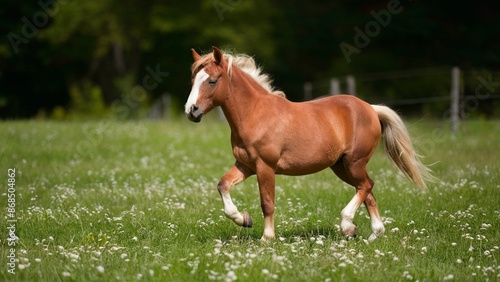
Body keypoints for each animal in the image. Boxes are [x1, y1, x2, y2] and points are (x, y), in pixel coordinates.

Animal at [186, 47, 432, 241]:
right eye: (193, 80)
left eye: (212, 81)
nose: (191, 111)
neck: (255, 114)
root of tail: (371, 108)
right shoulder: (245, 165)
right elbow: (223, 185)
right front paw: (244, 219)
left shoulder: (265, 167)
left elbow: (267, 203)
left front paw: (267, 238)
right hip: (341, 166)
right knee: (367, 190)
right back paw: (371, 234)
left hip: (354, 163)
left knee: (366, 186)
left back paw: (348, 225)